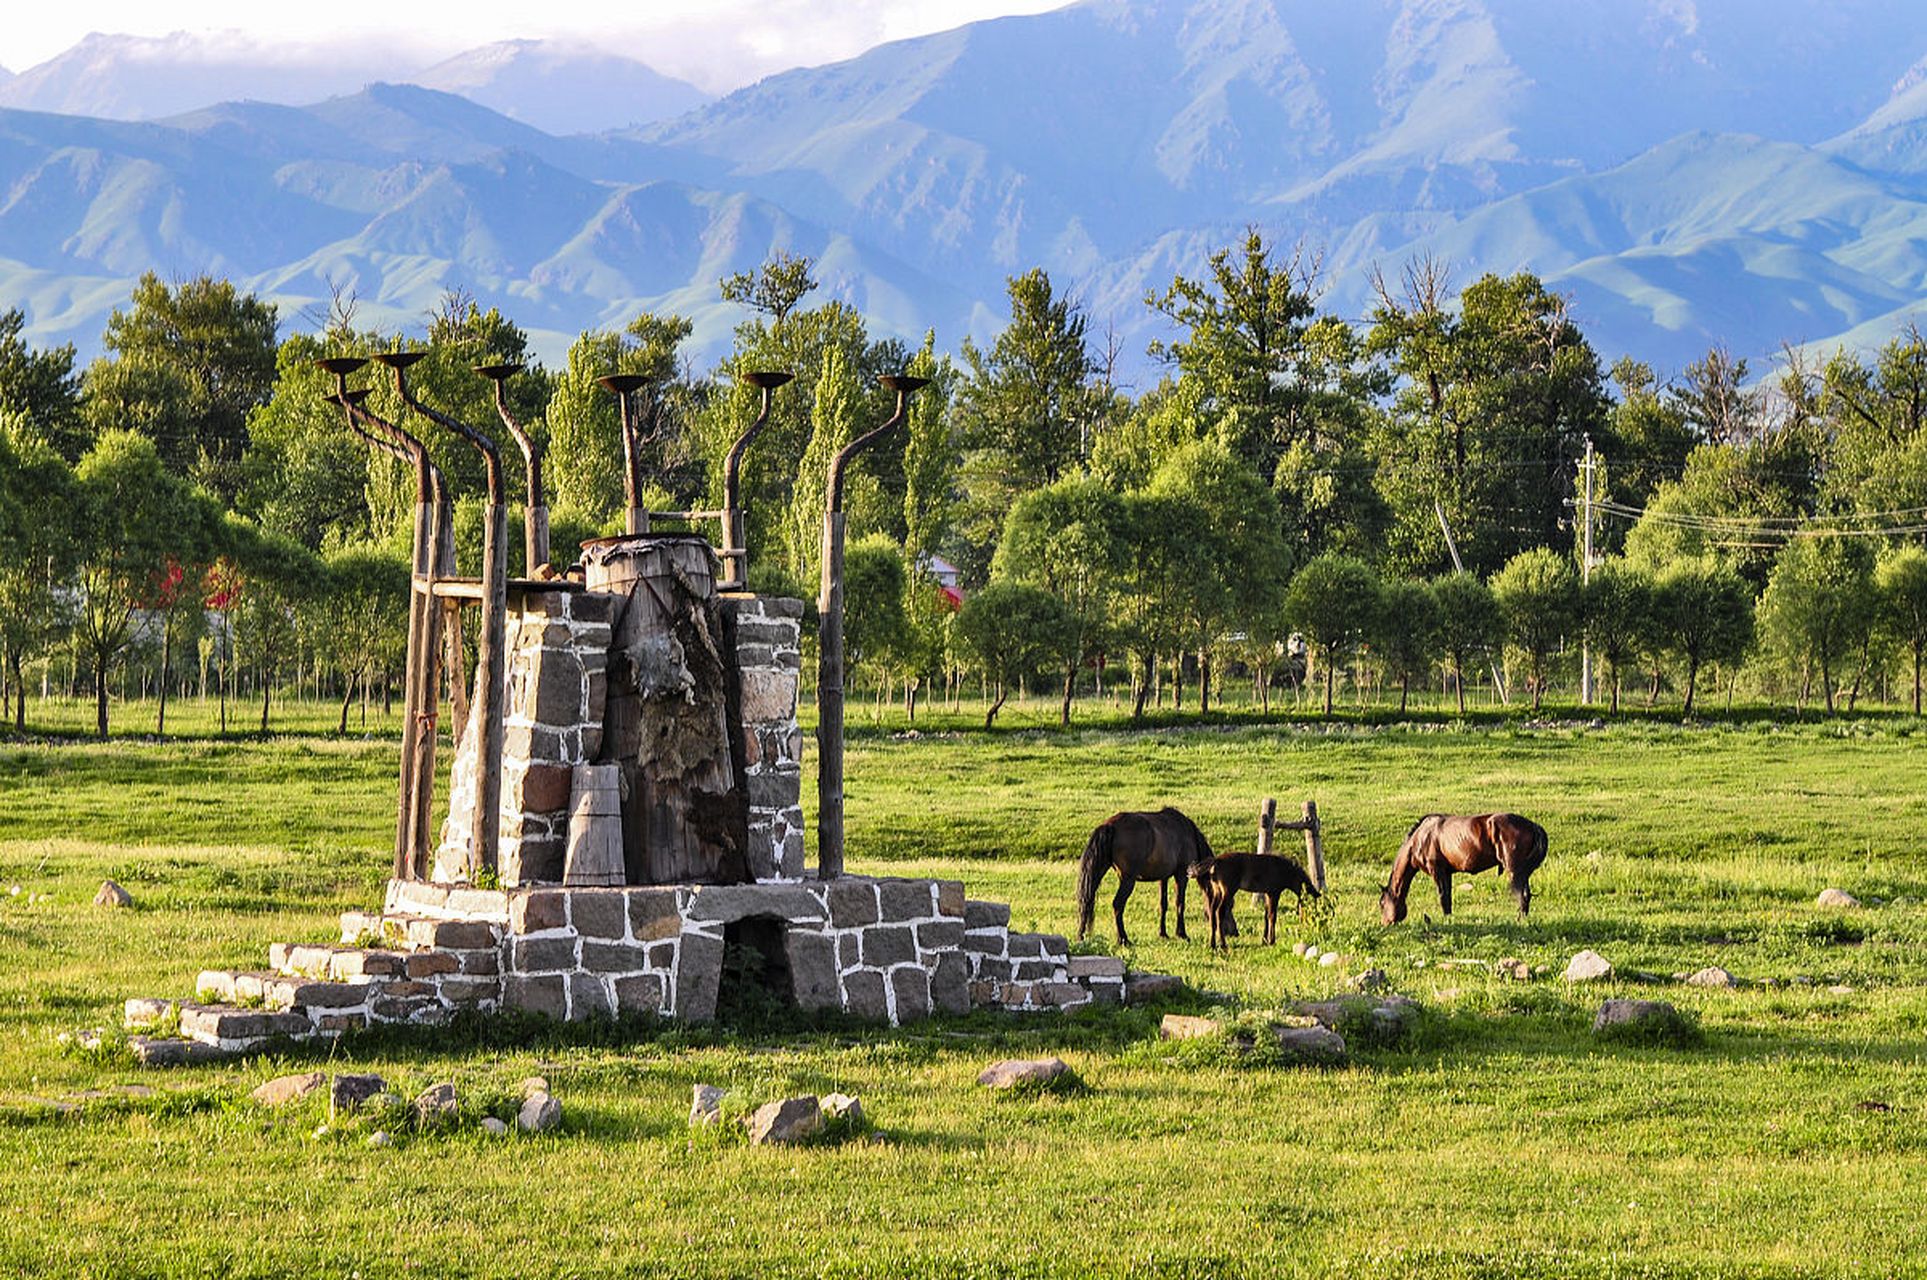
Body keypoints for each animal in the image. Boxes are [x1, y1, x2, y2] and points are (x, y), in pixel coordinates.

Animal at [1079, 805, 1210, 944]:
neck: (1188, 833)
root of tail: (1110, 825)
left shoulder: (1163, 878)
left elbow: (1163, 904)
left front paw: (1163, 933)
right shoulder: (1181, 875)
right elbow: (1180, 903)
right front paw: (1182, 934)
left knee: (1086, 900)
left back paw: (1081, 936)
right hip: (1128, 880)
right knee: (1117, 904)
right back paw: (1123, 939)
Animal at [1372, 813, 1549, 925]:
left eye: (1382, 903)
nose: (1384, 923)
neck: (1420, 838)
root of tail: (1533, 826)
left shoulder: (1437, 871)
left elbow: (1443, 897)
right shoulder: (1447, 873)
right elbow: (1448, 897)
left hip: (1515, 871)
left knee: (1522, 895)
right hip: (1523, 873)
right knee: (1526, 895)